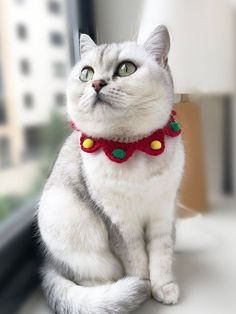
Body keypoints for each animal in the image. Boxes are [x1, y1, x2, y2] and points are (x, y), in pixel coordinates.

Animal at [37, 25, 184, 314]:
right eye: (86, 73)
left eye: (126, 69)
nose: (96, 84)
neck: (132, 148)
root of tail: (50, 262)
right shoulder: (120, 223)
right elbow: (137, 262)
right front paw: (143, 287)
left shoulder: (163, 215)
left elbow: (161, 256)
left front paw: (163, 288)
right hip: (74, 224)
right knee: (88, 281)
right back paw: (114, 292)